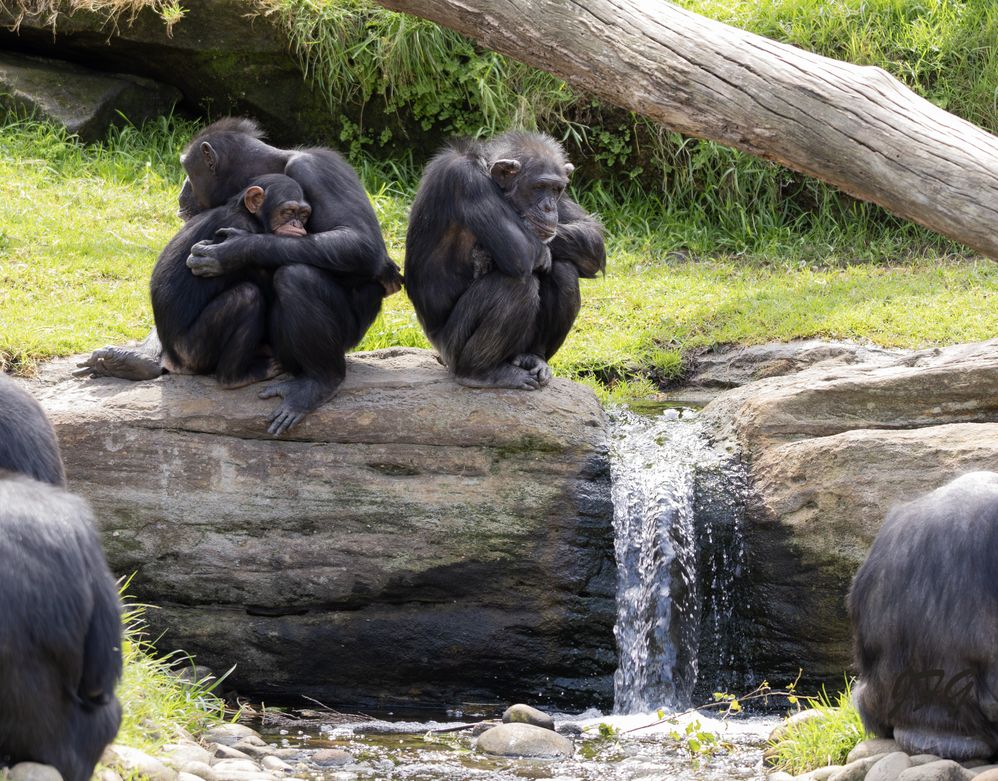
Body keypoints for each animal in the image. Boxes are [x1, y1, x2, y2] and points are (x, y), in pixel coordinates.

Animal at [79, 116, 402, 436]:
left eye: (188, 173)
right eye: (290, 213)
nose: (183, 188)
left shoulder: (317, 170)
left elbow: (359, 242)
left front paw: (232, 251)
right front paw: (135, 358)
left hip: (348, 336)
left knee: (295, 276)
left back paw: (318, 382)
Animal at [402, 134, 604, 394]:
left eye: (556, 189)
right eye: (538, 187)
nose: (549, 206)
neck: (487, 172)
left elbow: (592, 237)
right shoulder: (465, 180)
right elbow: (521, 252)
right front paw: (485, 253)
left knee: (563, 271)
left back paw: (534, 358)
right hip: (451, 349)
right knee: (516, 286)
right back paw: (480, 373)